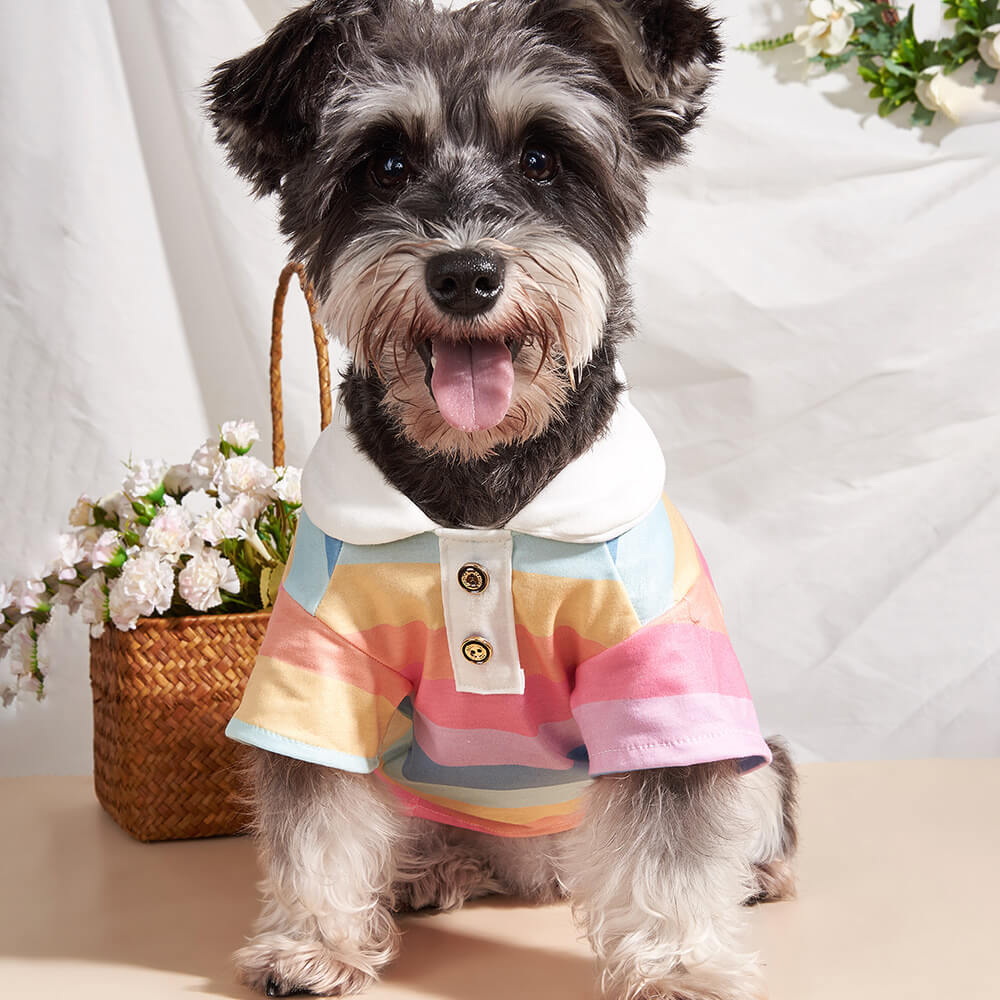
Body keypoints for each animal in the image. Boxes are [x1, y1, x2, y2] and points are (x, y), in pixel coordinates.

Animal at [207, 1, 800, 1000]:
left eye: (543, 158)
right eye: (385, 163)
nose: (465, 274)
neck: (478, 496)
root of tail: (538, 866)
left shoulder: (663, 675)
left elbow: (674, 840)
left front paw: (678, 962)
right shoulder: (316, 662)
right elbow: (316, 817)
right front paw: (312, 944)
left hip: (749, 747)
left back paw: (752, 874)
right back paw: (428, 870)